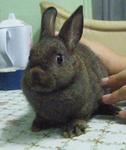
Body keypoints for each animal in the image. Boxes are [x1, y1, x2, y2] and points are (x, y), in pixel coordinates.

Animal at [21, 5, 120, 138]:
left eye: (59, 58)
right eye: (29, 57)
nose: (36, 72)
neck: (52, 92)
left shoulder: (83, 107)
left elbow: (78, 117)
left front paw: (73, 129)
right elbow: (41, 116)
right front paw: (37, 125)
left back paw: (114, 110)